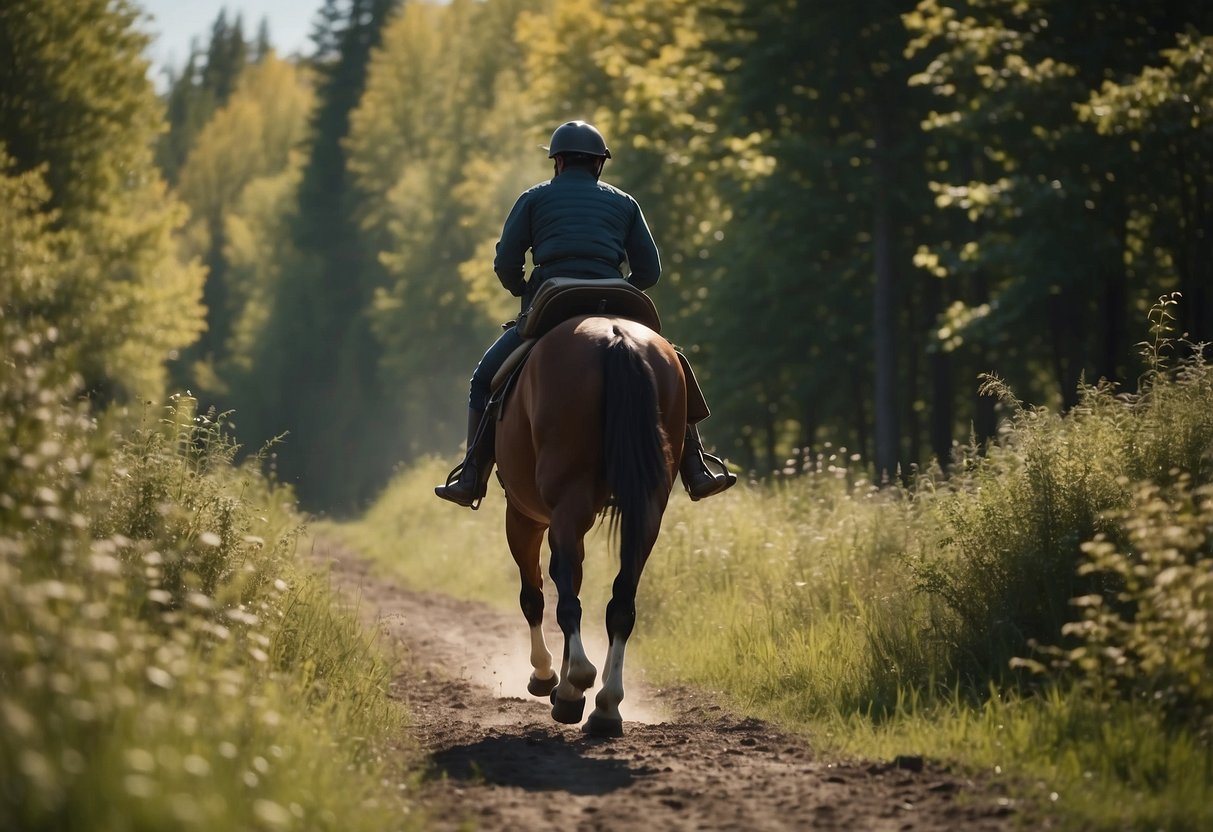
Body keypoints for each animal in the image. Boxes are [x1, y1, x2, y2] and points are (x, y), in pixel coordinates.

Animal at [490, 315, 684, 742]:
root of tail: (616, 337)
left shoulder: (523, 515)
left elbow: (535, 595)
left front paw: (548, 677)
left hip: (564, 501)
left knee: (562, 592)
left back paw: (575, 685)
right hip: (645, 510)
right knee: (622, 600)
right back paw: (606, 706)